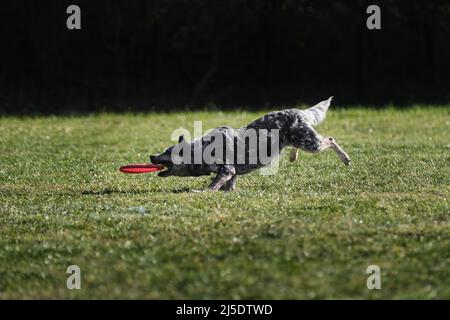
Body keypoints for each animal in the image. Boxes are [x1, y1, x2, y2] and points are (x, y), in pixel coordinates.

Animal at [151, 97, 352, 192]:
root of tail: (298, 111)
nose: (151, 156)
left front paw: (201, 192)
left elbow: (212, 186)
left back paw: (346, 159)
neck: (202, 151)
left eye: (167, 151)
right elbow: (227, 185)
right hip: (303, 140)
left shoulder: (227, 169)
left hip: (311, 144)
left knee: (330, 140)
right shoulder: (232, 173)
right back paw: (293, 156)